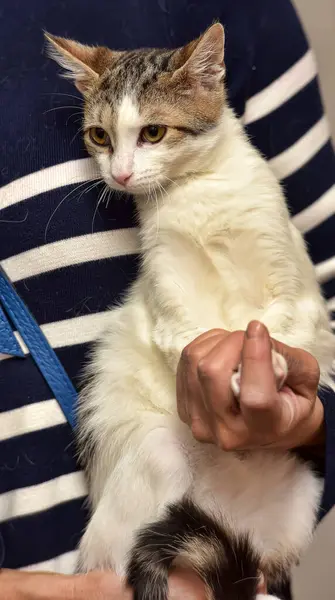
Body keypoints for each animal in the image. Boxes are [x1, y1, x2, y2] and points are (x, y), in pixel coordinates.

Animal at [47, 24, 335, 600]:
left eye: (153, 132)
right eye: (100, 137)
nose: (120, 175)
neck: (198, 193)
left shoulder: (295, 289)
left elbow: (285, 328)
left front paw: (268, 365)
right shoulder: (168, 299)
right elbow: (185, 339)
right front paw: (237, 375)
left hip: (299, 493)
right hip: (151, 470)